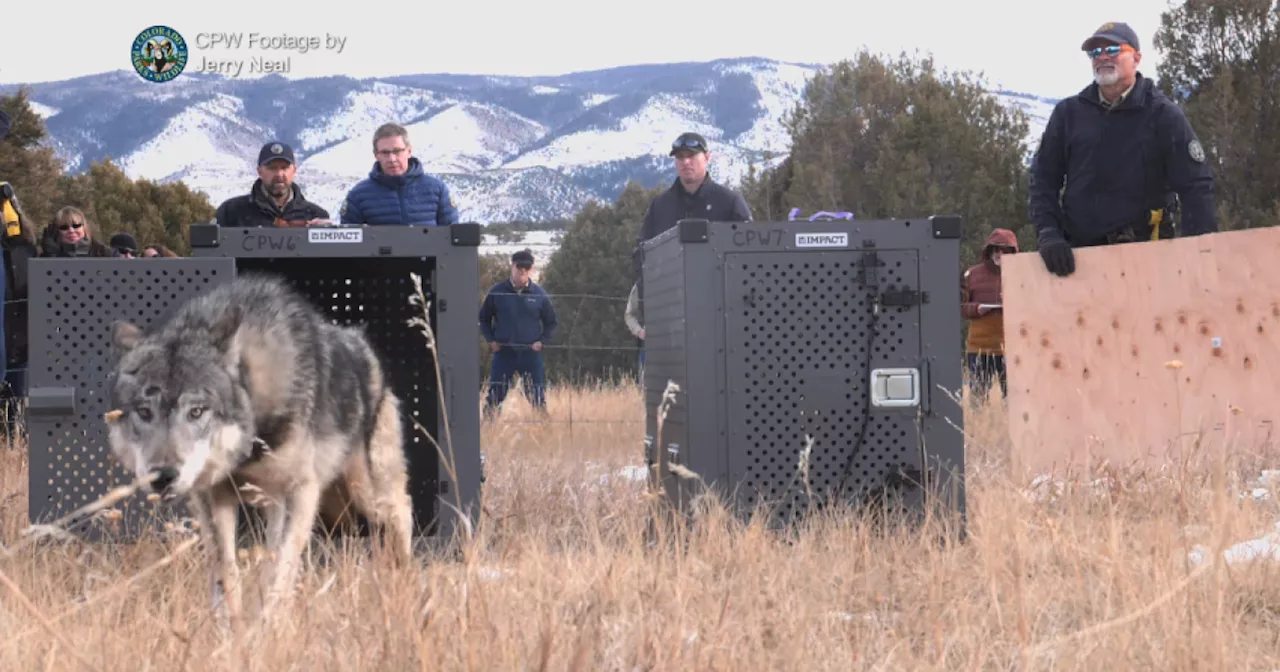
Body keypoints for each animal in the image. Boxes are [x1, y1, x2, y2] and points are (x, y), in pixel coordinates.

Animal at [106, 272, 414, 629]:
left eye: (196, 411)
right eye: (144, 412)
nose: (163, 476)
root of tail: (363, 345)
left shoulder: (302, 491)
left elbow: (282, 566)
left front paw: (268, 628)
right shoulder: (212, 496)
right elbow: (226, 569)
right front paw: (230, 628)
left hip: (367, 494)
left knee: (402, 511)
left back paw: (403, 584)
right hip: (280, 503)